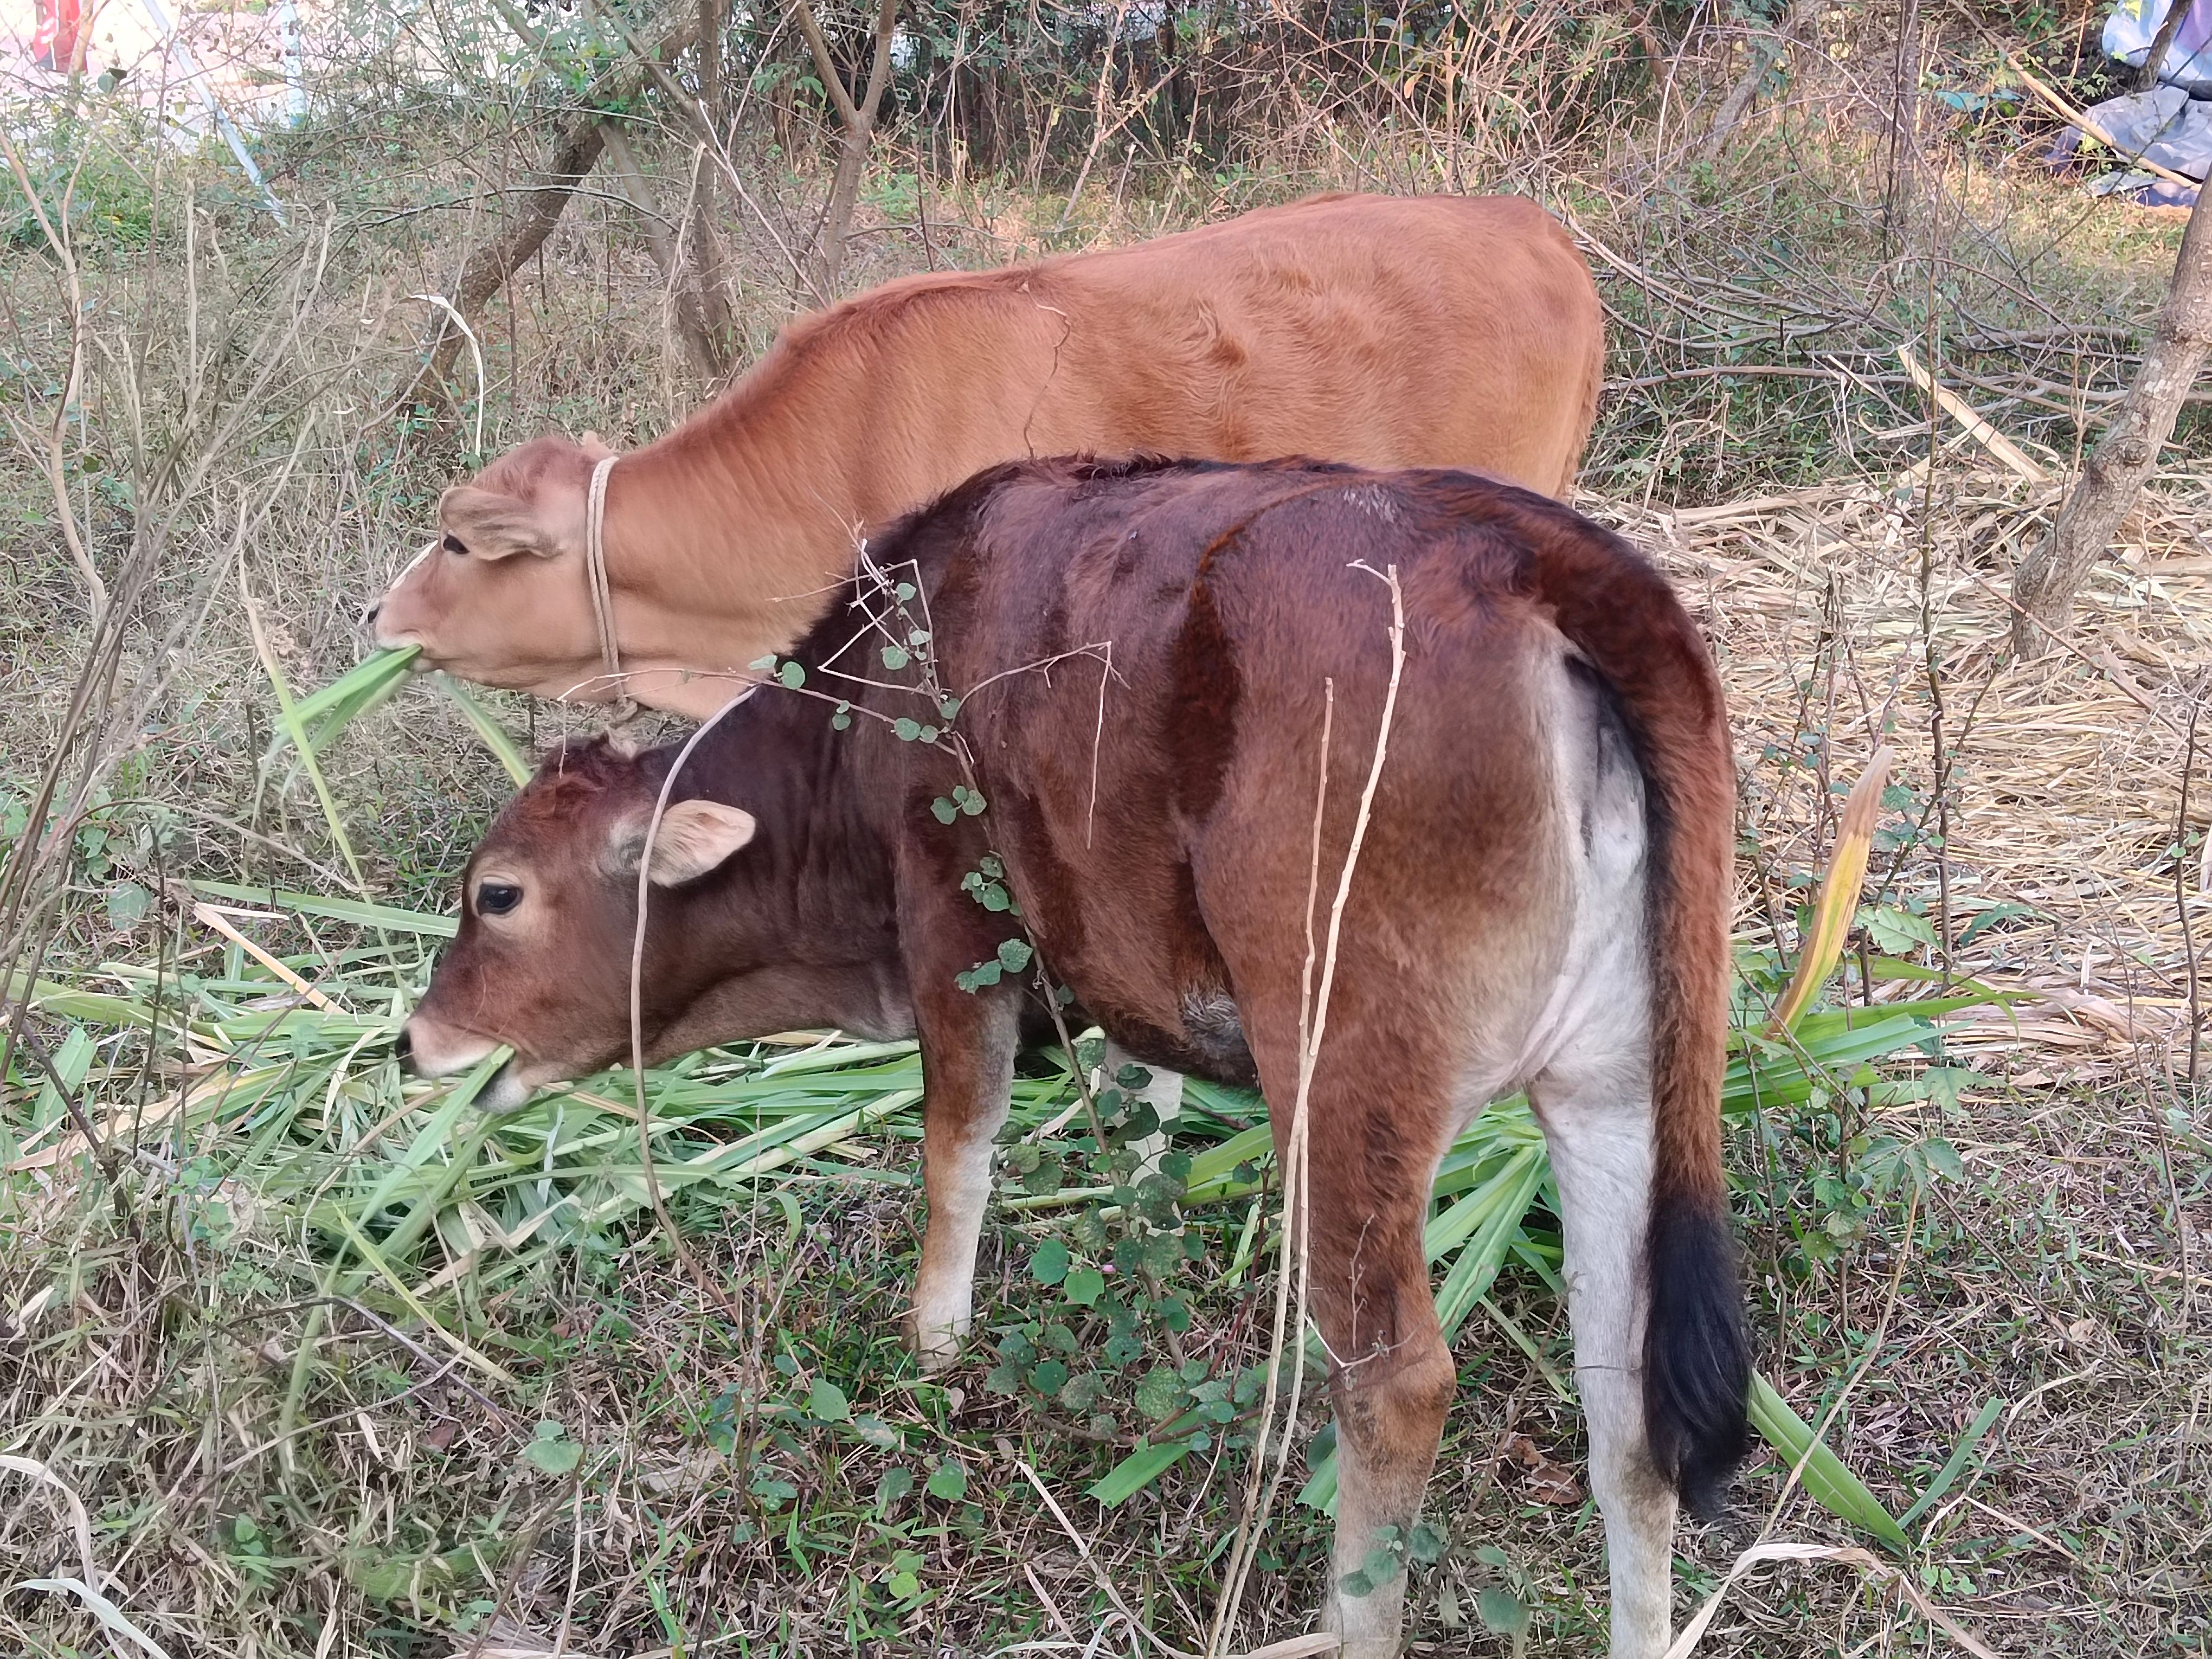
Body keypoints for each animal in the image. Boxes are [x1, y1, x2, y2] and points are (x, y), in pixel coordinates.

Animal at [398, 458, 1743, 1659]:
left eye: (497, 895)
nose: (416, 1040)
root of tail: (1534, 549)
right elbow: (1140, 1129)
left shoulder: (953, 925)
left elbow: (957, 1154)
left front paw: (933, 1351)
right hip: (1620, 1088)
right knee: (1631, 1417)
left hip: (1345, 1071)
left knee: (1398, 1382)